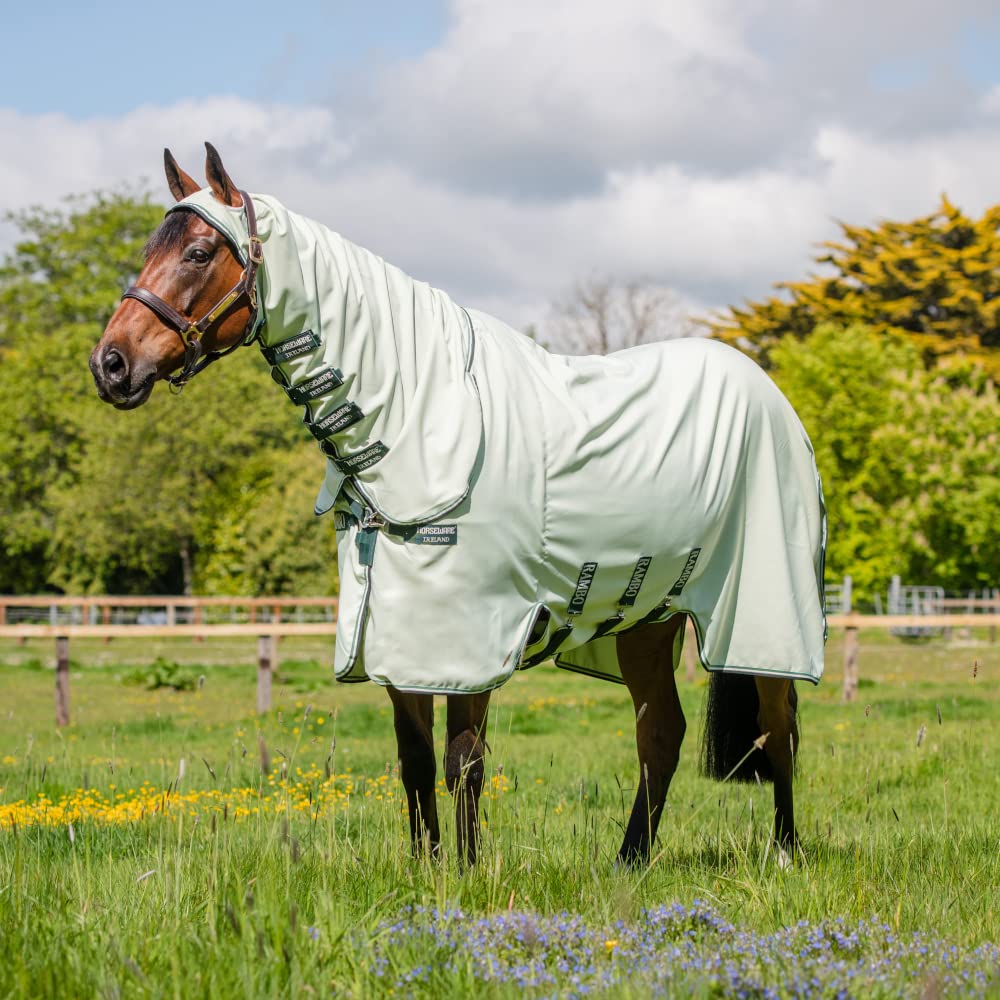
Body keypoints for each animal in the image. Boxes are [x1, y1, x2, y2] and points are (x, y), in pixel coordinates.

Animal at [90, 144, 826, 867]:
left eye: (198, 253)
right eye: (151, 248)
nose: (110, 365)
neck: (418, 420)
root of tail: (769, 392)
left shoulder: (472, 639)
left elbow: (463, 761)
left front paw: (468, 875)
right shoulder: (397, 636)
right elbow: (415, 762)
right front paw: (429, 869)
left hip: (762, 612)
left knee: (778, 726)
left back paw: (784, 850)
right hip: (647, 617)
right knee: (662, 734)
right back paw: (630, 860)